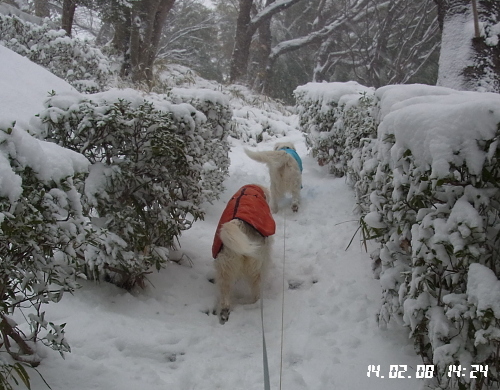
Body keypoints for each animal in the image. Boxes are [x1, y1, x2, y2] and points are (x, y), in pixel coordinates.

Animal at [210, 184, 276, 324]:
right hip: (256, 266)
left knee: (225, 293)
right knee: (256, 290)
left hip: (225, 265)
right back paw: (255, 304)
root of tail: (239, 224)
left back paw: (224, 313)